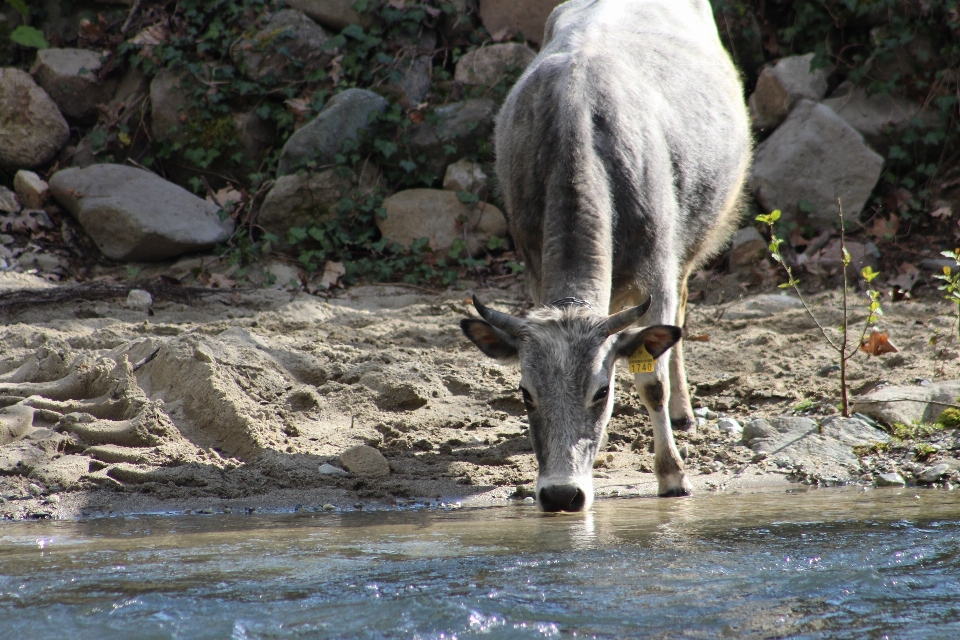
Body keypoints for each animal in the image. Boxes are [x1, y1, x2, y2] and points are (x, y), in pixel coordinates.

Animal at [458, 0, 752, 510]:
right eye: (525, 393)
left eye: (602, 391)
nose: (561, 494)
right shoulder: (534, 266)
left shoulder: (658, 268)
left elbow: (651, 379)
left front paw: (672, 474)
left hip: (693, 240)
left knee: (680, 312)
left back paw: (683, 411)